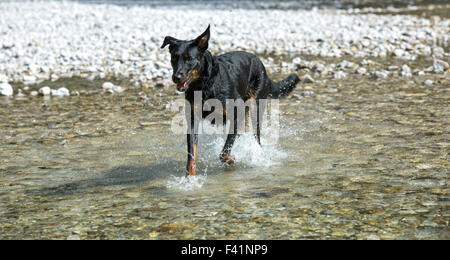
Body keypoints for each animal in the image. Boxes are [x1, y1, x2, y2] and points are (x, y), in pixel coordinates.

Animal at [160, 25, 300, 176]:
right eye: (174, 58)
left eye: (189, 59)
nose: (176, 77)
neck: (204, 84)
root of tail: (261, 65)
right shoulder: (192, 119)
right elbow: (191, 154)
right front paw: (189, 178)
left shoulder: (236, 113)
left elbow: (224, 151)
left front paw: (231, 159)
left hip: (255, 106)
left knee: (255, 137)